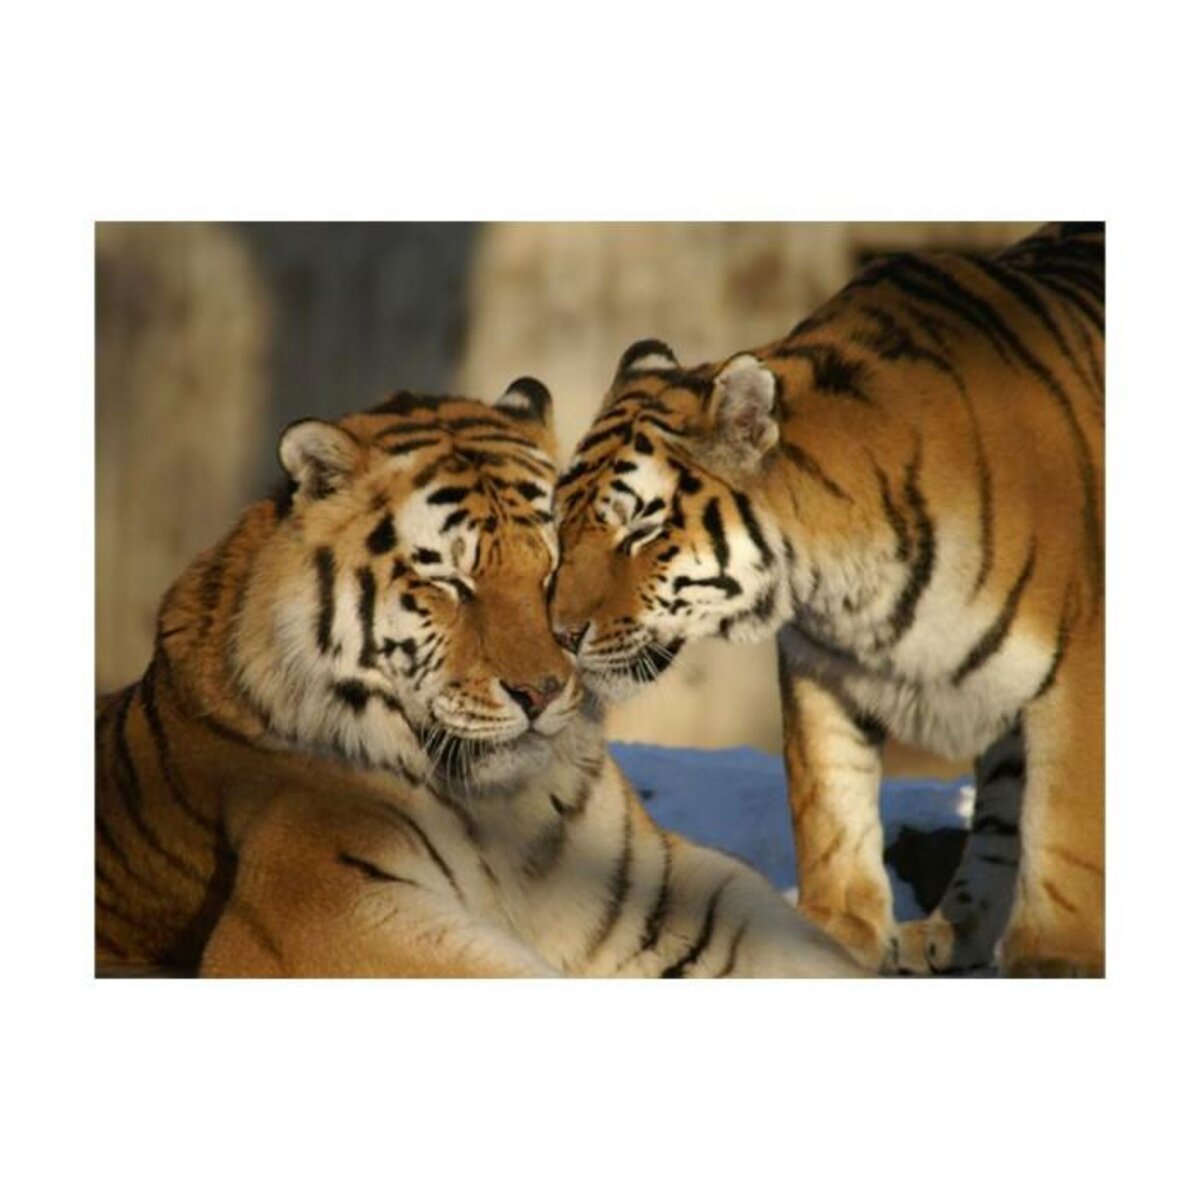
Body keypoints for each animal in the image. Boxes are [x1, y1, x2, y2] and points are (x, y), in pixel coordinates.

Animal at [95, 378, 867, 977]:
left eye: (555, 565)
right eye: (449, 581)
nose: (541, 692)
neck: (509, 812)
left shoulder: (656, 895)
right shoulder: (315, 911)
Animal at [550, 222, 1104, 977]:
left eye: (640, 530)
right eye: (562, 524)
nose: (559, 632)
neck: (844, 580)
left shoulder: (1079, 662)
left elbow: (1065, 825)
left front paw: (1057, 959)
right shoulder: (822, 665)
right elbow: (830, 800)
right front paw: (837, 932)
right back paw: (949, 932)